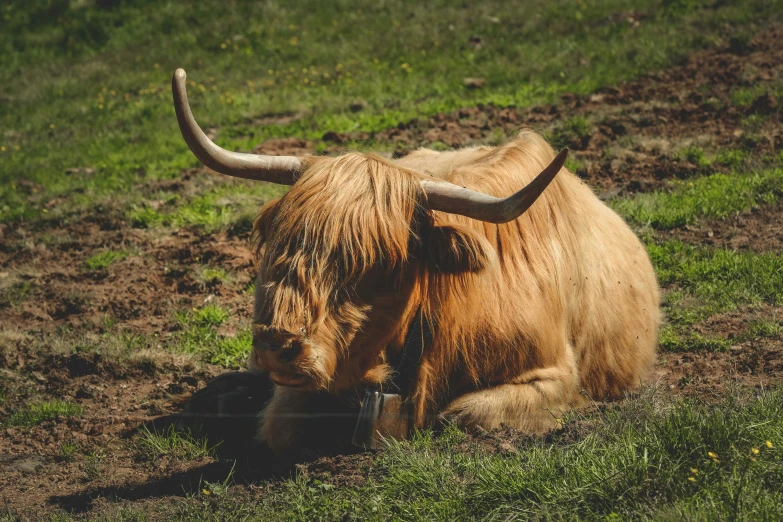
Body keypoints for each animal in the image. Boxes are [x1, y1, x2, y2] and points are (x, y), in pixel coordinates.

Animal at [172, 68, 660, 450]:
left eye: (377, 264)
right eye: (278, 241)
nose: (279, 344)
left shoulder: (555, 375)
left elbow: (461, 414)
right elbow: (283, 422)